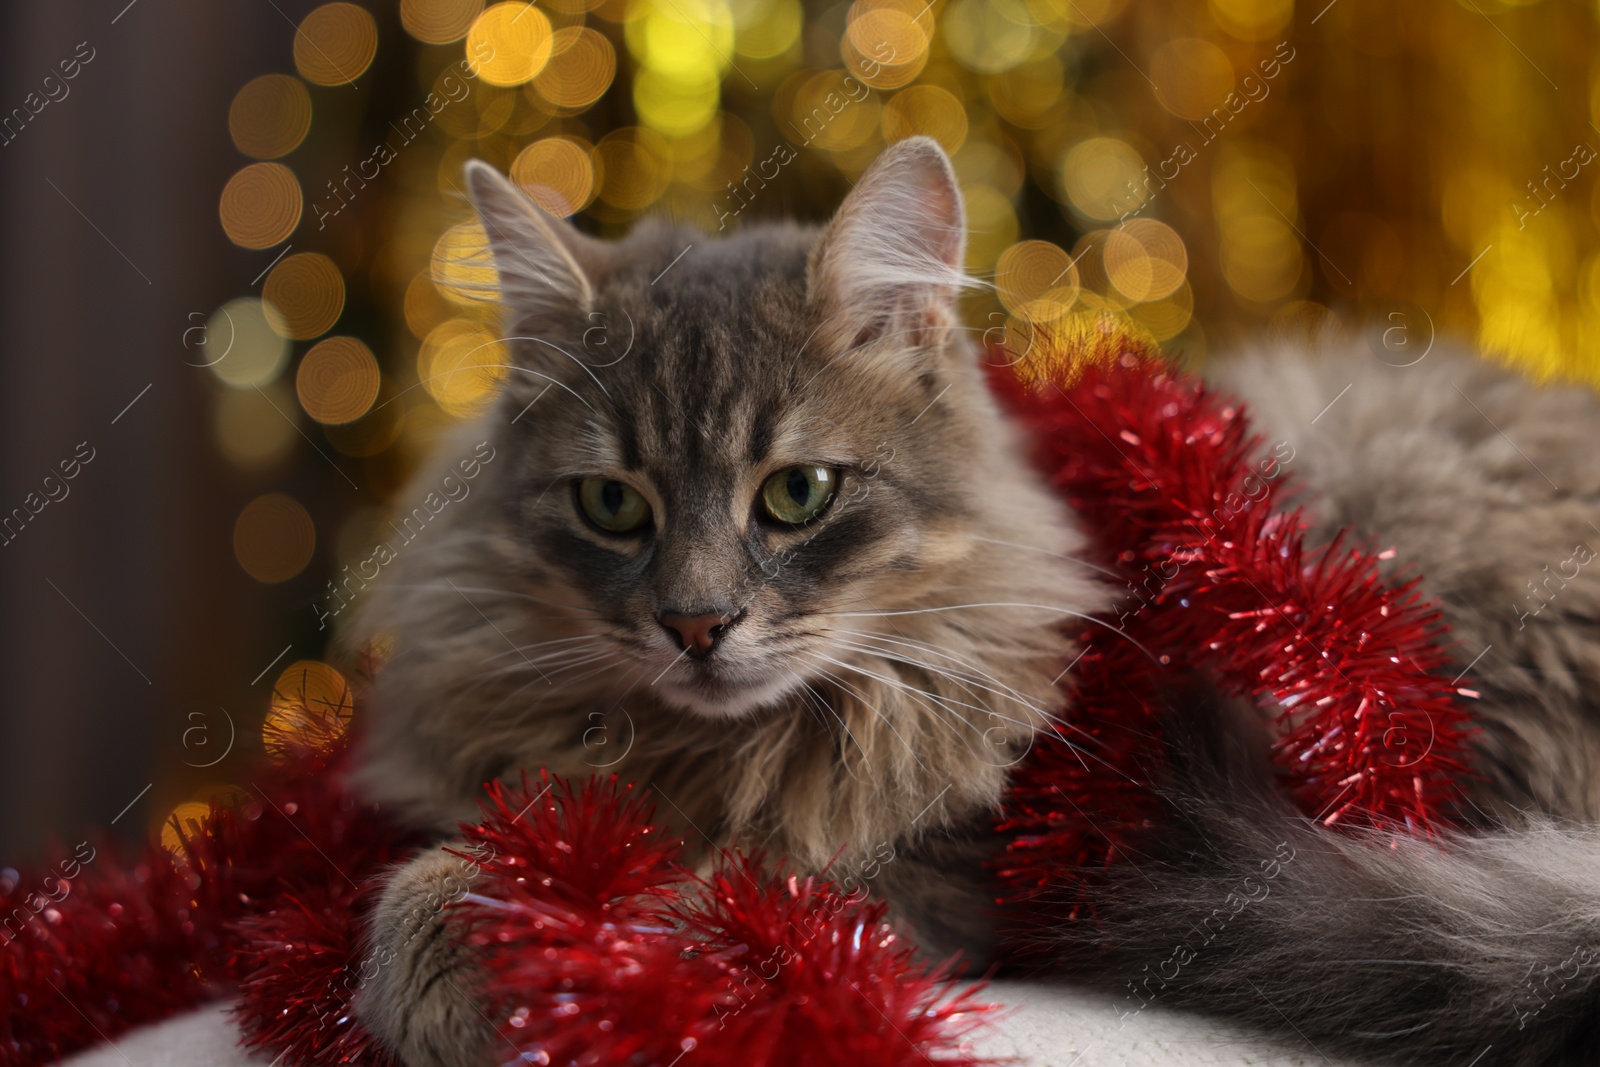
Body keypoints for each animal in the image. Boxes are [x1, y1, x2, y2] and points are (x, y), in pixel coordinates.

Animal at [347, 137, 1600, 1062]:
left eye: (797, 493)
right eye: (612, 503)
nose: (695, 624)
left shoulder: (943, 862)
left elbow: (726, 891)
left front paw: (532, 956)